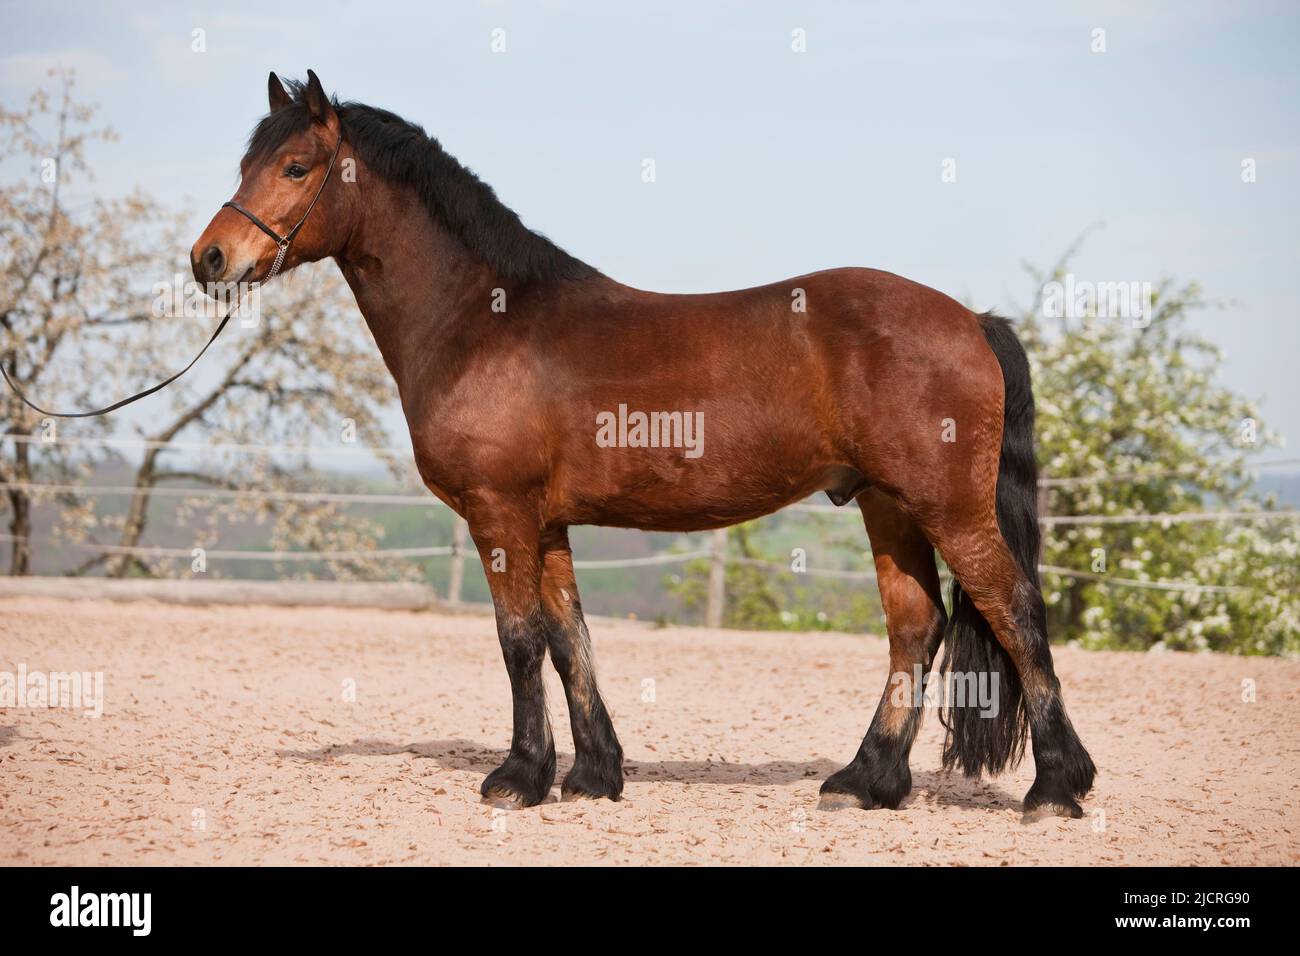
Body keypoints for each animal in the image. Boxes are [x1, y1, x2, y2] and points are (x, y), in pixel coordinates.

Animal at [192, 70, 1097, 822]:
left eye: (297, 166)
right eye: (247, 162)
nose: (210, 258)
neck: (486, 318)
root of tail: (970, 320)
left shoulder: (499, 514)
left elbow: (519, 641)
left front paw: (518, 778)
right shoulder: (546, 523)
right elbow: (571, 640)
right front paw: (594, 774)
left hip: (950, 508)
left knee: (1016, 611)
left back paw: (1056, 788)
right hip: (888, 506)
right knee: (916, 626)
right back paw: (866, 781)